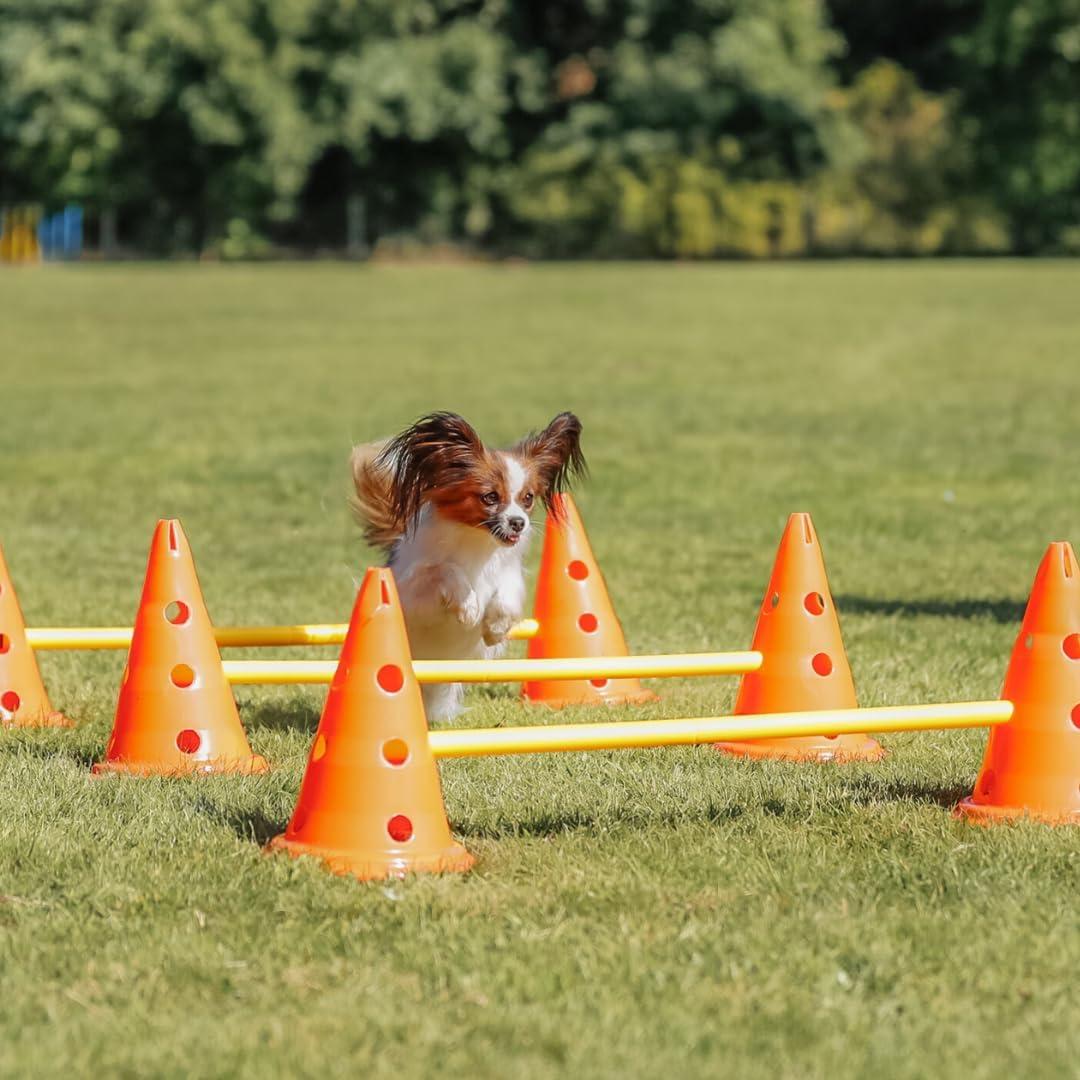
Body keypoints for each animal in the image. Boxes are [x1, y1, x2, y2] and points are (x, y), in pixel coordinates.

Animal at [347, 414, 583, 725]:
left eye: (527, 498)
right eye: (490, 497)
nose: (518, 523)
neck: (476, 542)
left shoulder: (508, 573)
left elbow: (507, 596)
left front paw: (495, 627)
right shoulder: (412, 594)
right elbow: (446, 570)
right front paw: (469, 607)